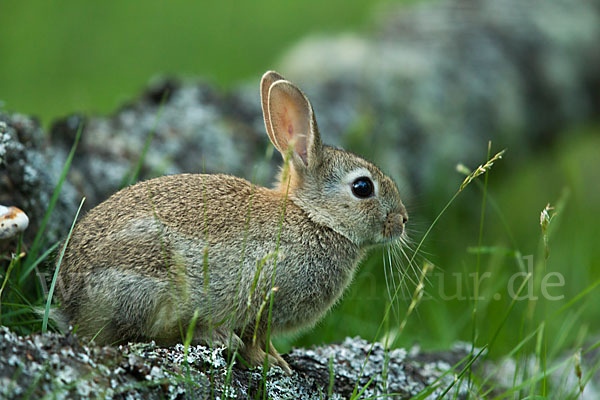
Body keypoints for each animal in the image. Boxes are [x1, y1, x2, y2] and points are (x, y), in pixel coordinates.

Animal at [55, 70, 408, 374]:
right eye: (362, 187)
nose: (402, 220)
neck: (313, 216)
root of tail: (69, 300)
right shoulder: (263, 296)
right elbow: (254, 338)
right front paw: (269, 364)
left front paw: (280, 361)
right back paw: (214, 337)